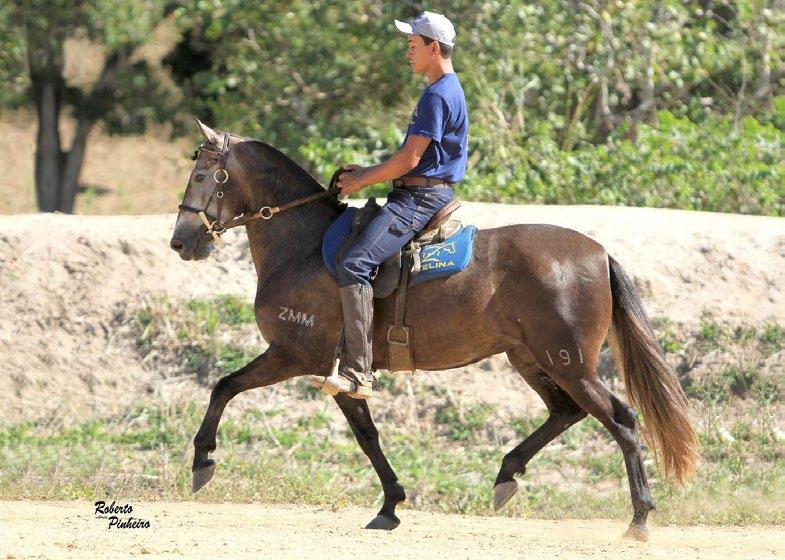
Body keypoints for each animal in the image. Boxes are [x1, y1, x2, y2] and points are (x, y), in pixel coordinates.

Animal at [168, 120, 696, 540]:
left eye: (202, 176)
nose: (180, 242)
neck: (303, 244)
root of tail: (597, 253)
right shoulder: (340, 373)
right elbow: (368, 435)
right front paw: (390, 505)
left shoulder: (296, 355)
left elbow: (224, 386)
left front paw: (202, 461)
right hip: (530, 358)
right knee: (566, 412)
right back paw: (507, 474)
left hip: (569, 362)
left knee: (621, 420)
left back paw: (639, 519)